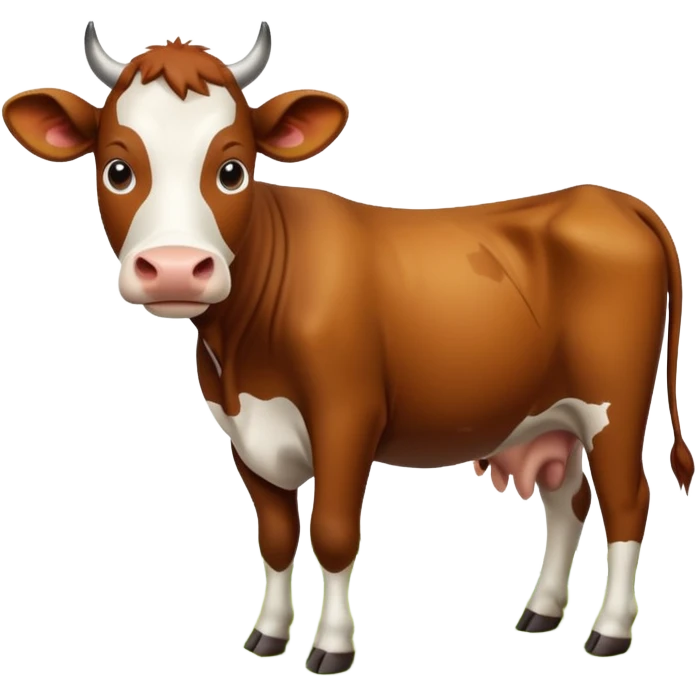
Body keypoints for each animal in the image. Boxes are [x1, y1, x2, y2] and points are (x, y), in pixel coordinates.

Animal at [2, 20, 693, 675]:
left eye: (232, 169)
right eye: (117, 169)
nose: (174, 269)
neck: (242, 351)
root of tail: (611, 199)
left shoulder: (347, 415)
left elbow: (333, 533)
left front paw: (332, 647)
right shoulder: (244, 430)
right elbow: (278, 537)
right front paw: (268, 635)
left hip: (613, 405)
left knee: (627, 502)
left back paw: (609, 632)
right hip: (549, 416)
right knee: (567, 500)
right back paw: (542, 611)